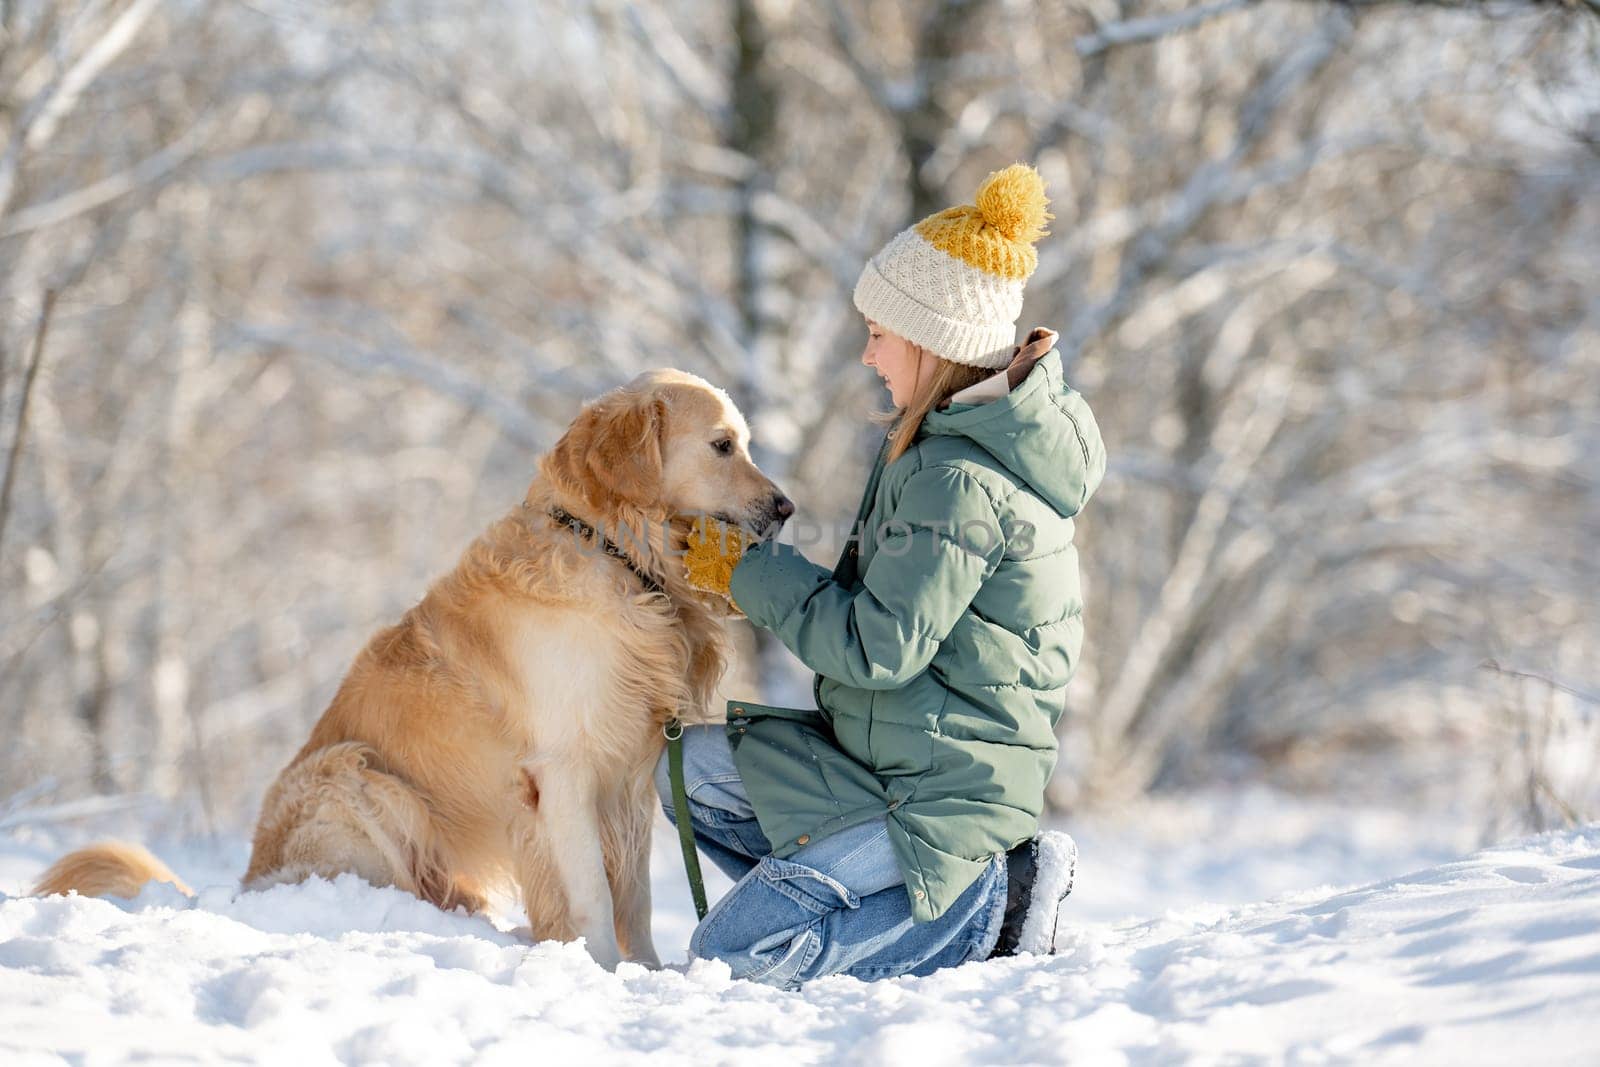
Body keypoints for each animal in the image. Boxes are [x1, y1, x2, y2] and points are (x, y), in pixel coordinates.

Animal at [32, 371, 793, 972]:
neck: (619, 557)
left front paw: (650, 971)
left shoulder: (631, 778)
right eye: (723, 445)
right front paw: (603, 970)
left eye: (746, 443)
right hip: (359, 777)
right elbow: (595, 896)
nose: (786, 507)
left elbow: (634, 895)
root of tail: (247, 882)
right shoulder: (565, 772)